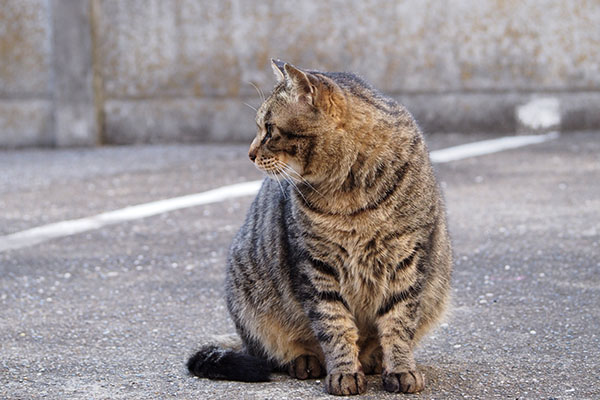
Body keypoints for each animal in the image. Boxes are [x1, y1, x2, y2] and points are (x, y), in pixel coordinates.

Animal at [188, 59, 450, 394]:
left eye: (269, 129)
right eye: (261, 127)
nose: (249, 153)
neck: (350, 194)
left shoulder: (407, 259)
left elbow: (399, 322)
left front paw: (401, 368)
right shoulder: (315, 265)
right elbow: (334, 325)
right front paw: (344, 373)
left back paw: (374, 359)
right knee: (273, 351)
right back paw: (304, 361)